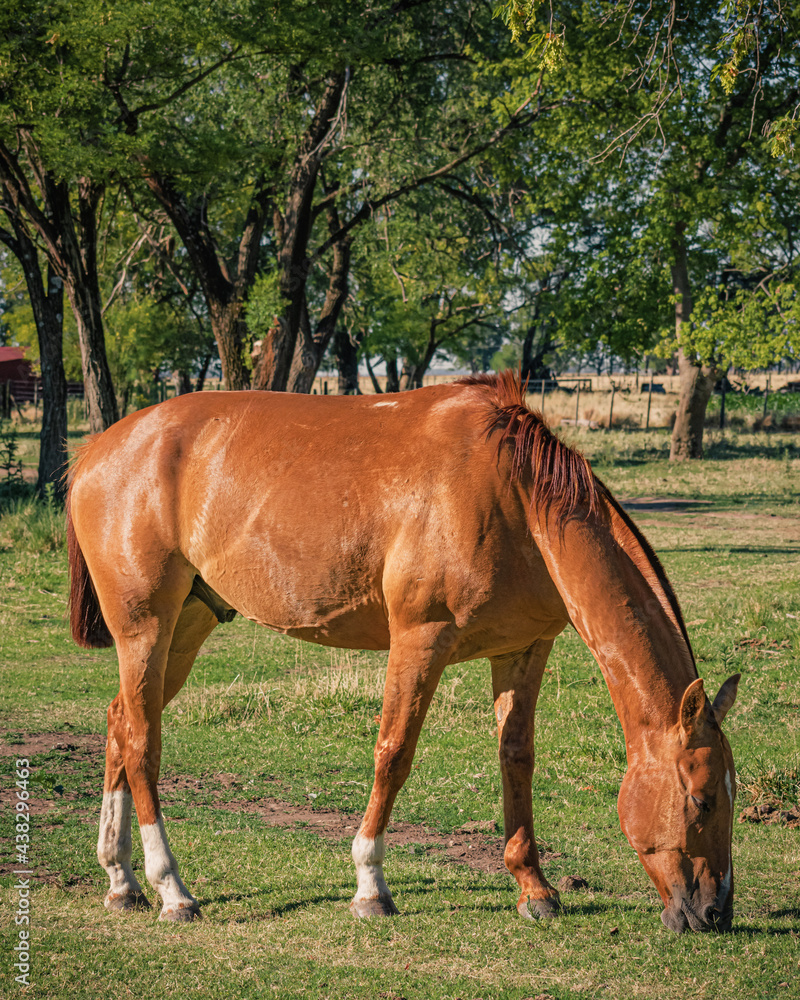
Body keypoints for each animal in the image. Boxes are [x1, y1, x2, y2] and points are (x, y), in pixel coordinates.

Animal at [67, 371, 739, 933]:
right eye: (701, 799)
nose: (715, 912)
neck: (512, 494)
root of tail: (97, 452)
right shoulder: (420, 640)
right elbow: (393, 753)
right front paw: (370, 887)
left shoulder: (524, 649)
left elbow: (516, 759)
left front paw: (535, 889)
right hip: (146, 629)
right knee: (142, 744)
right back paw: (172, 891)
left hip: (188, 624)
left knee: (120, 722)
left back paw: (121, 882)